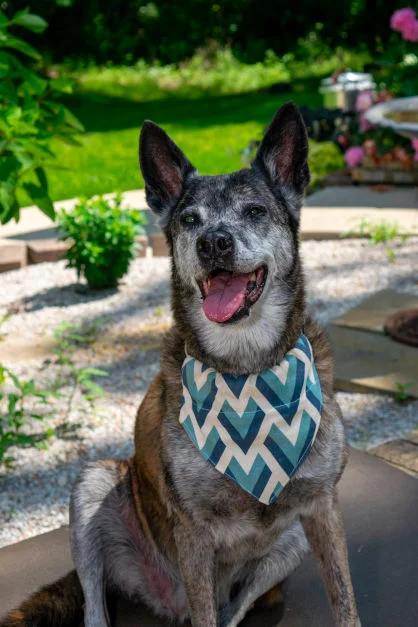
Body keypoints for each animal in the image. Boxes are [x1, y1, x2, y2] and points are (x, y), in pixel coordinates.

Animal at [0, 103, 360, 627]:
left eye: (255, 211)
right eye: (190, 219)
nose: (213, 242)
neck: (246, 369)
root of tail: (167, 603)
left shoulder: (322, 509)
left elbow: (344, 599)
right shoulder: (193, 531)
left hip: (287, 544)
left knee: (232, 611)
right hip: (94, 485)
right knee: (97, 606)